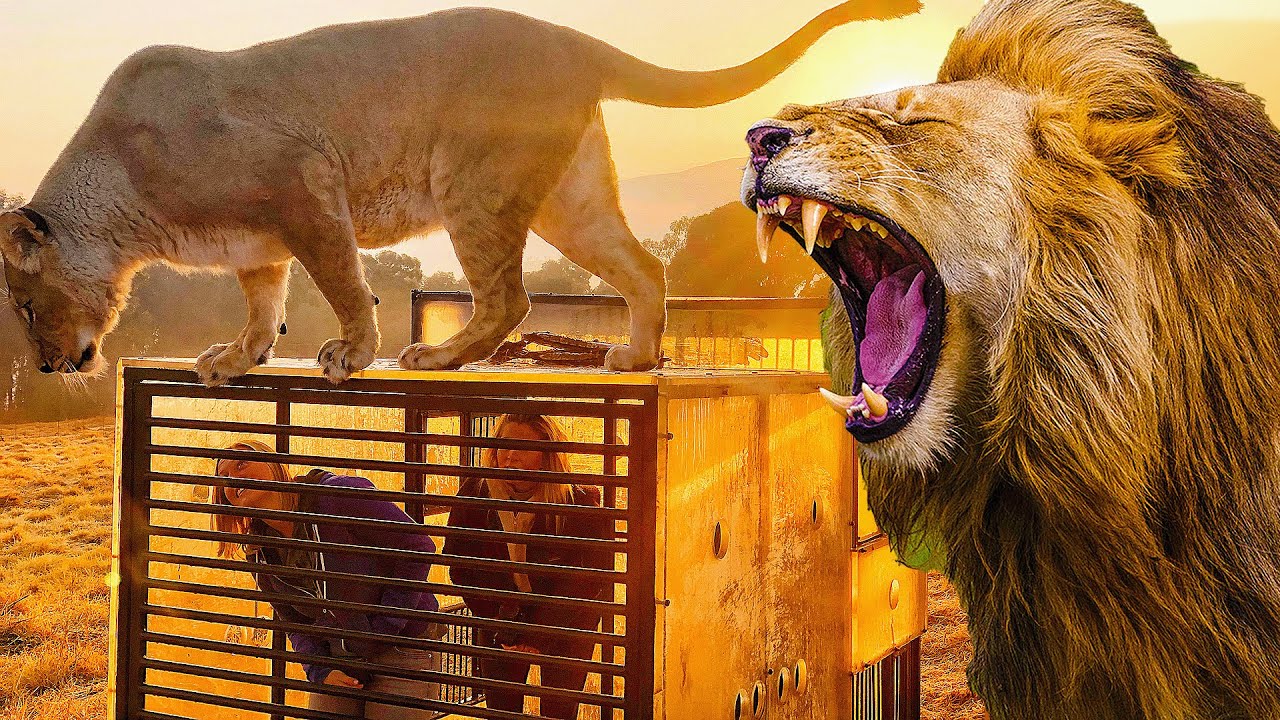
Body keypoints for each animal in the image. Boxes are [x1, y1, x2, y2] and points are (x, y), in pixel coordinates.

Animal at [0, 1, 918, 387]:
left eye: (26, 306)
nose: (44, 364)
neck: (127, 215)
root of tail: (572, 39)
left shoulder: (303, 179)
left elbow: (343, 281)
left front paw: (351, 354)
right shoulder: (257, 246)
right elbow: (263, 307)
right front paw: (234, 357)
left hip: (470, 185)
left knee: (509, 297)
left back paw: (438, 357)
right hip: (571, 201)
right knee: (644, 268)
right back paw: (635, 357)